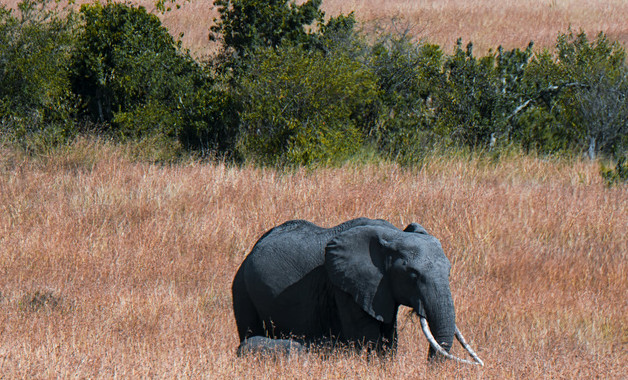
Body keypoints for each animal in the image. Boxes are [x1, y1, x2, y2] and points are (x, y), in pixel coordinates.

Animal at [233, 217, 484, 366]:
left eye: (449, 272)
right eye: (413, 275)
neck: (394, 235)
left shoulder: (379, 287)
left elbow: (389, 336)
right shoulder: (345, 285)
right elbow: (368, 337)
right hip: (241, 288)